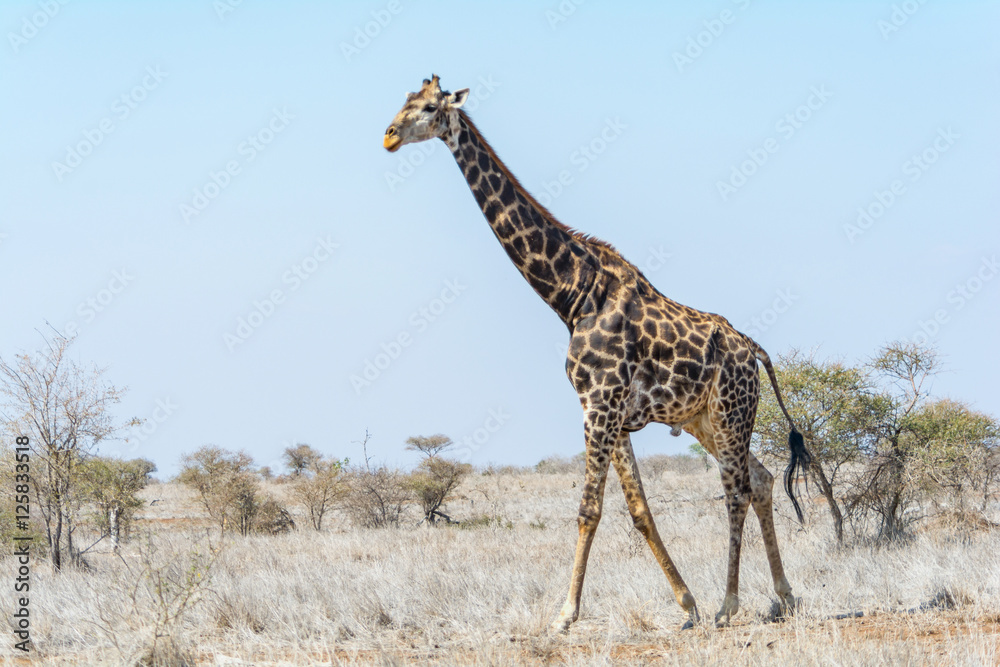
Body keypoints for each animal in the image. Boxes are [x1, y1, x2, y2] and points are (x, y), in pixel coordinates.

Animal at [383, 75, 812, 631]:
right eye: (404, 102)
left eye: (430, 107)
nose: (389, 136)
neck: (571, 294)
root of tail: (754, 351)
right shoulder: (611, 412)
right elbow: (639, 510)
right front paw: (686, 604)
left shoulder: (599, 405)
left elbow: (589, 509)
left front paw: (565, 613)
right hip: (705, 420)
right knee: (760, 479)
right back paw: (783, 595)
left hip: (731, 412)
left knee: (736, 488)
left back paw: (730, 603)